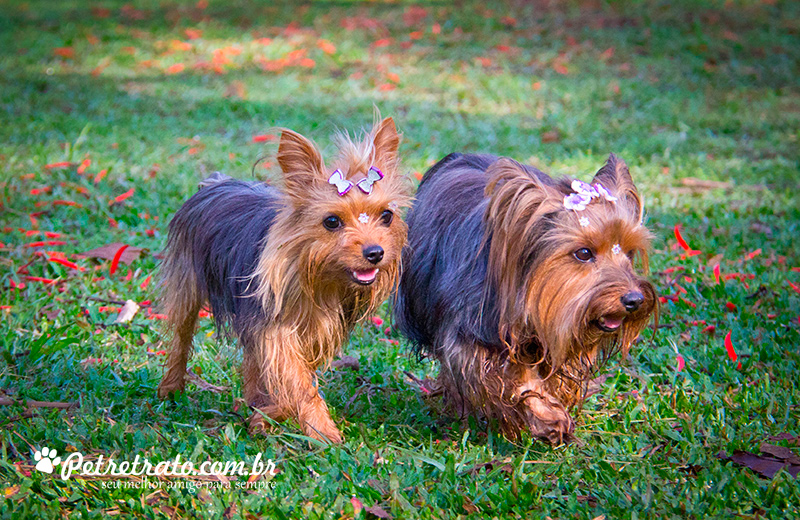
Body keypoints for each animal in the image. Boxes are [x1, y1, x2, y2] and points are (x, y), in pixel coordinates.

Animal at [159, 118, 410, 442]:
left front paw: (267, 415)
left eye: (387, 216)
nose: (375, 253)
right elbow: (297, 381)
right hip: (187, 283)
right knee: (180, 336)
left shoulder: (311, 334)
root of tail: (215, 183)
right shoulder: (276, 330)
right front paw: (322, 431)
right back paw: (171, 388)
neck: (319, 278)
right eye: (332, 221)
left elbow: (292, 378)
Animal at [394, 152, 656, 440]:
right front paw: (549, 418)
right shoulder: (471, 331)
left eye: (629, 253)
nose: (634, 300)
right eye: (584, 253)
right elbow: (513, 379)